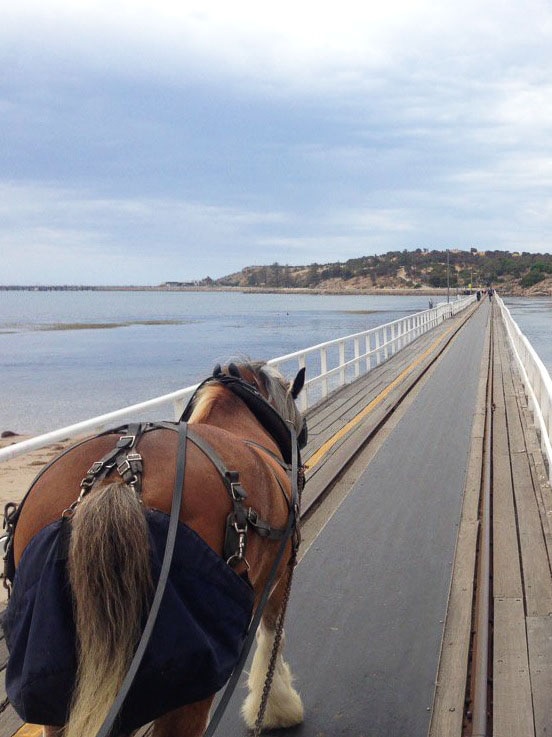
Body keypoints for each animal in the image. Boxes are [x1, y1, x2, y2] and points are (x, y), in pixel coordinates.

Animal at [3, 360, 306, 736]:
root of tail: (117, 475)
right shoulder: (278, 574)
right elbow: (271, 642)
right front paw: (280, 709)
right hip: (190, 677)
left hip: (62, 686)